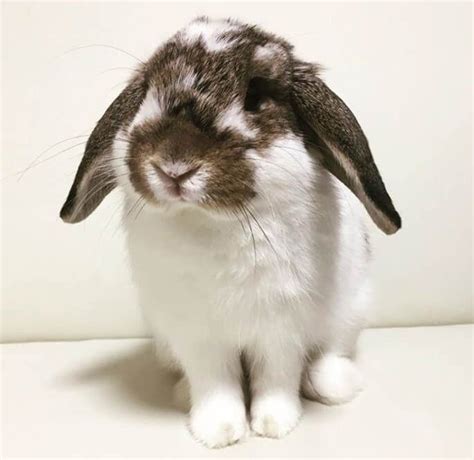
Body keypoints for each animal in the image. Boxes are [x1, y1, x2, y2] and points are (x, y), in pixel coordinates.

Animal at [58, 16, 400, 448]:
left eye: (256, 97)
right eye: (148, 89)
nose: (174, 165)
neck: (213, 222)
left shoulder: (281, 329)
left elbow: (276, 378)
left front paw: (274, 425)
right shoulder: (197, 336)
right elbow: (215, 384)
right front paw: (219, 432)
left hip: (351, 312)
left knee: (329, 357)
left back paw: (333, 383)